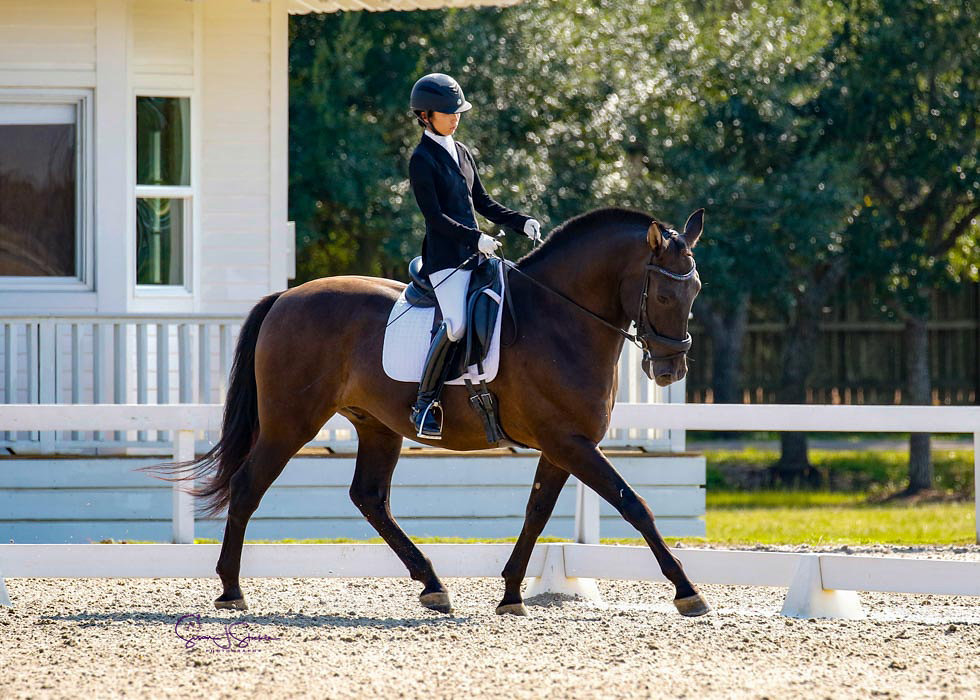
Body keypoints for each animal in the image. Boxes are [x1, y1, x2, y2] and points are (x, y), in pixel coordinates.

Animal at [157, 206, 708, 617]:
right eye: (664, 293)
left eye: (695, 290)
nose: (671, 370)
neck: (560, 318)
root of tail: (285, 297)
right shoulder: (568, 442)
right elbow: (633, 504)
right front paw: (687, 591)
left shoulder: (564, 445)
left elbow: (536, 513)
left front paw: (510, 594)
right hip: (289, 424)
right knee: (249, 486)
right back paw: (231, 590)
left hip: (377, 426)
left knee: (370, 498)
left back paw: (432, 584)